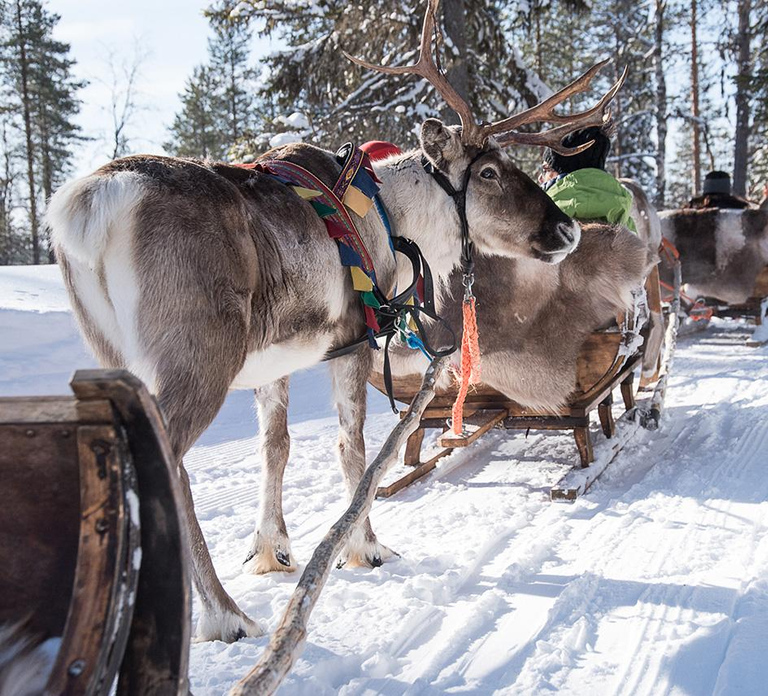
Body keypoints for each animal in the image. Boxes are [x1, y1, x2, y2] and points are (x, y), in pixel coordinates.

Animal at [46, 0, 624, 643]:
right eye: (490, 172)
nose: (567, 229)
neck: (396, 221)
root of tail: (87, 206)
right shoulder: (354, 342)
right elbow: (355, 448)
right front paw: (365, 546)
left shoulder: (274, 362)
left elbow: (276, 445)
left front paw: (272, 551)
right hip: (198, 358)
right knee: (166, 464)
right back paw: (223, 614)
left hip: (114, 357)